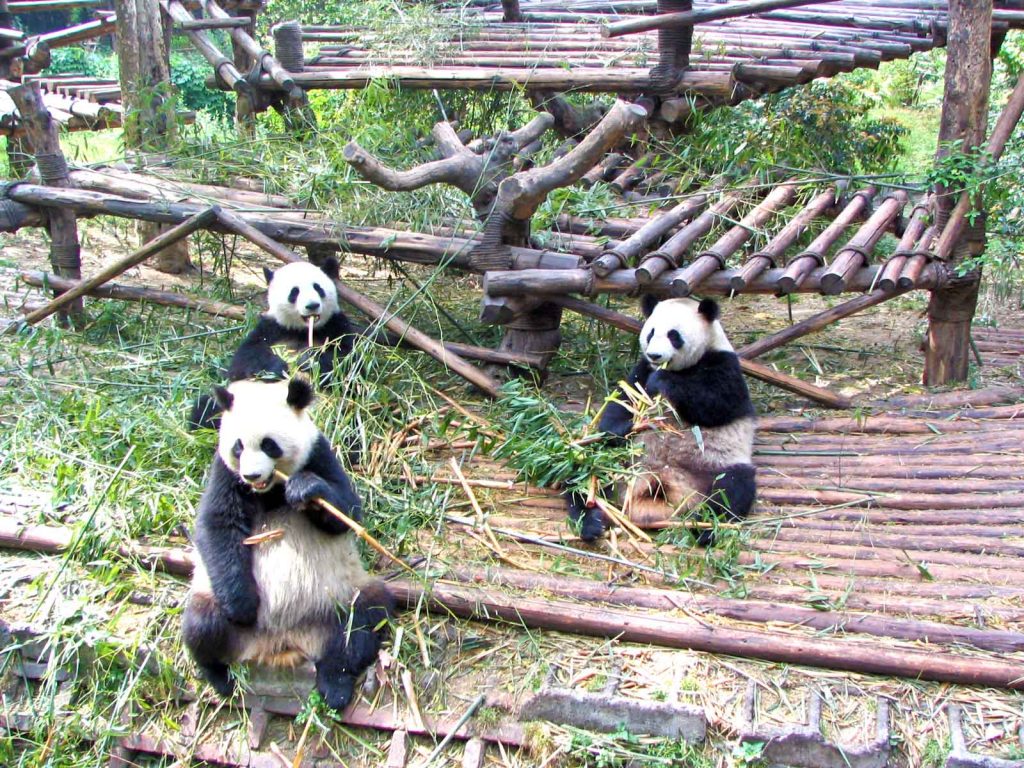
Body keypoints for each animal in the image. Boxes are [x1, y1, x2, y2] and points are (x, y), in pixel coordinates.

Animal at [182, 376, 389, 708]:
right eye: (238, 446)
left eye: (269, 444)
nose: (252, 475)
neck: (271, 489)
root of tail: (280, 643)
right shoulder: (225, 473)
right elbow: (217, 525)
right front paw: (243, 605)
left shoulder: (318, 452)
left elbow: (347, 511)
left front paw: (305, 489)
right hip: (212, 599)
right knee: (201, 626)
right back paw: (220, 678)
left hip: (339, 598)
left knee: (362, 621)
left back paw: (335, 684)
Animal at [190, 262, 354, 430]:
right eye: (295, 292)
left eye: (318, 288)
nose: (312, 305)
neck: (304, 330)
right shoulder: (270, 328)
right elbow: (243, 362)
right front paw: (279, 366)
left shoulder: (336, 326)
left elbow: (348, 363)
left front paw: (307, 359)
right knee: (206, 408)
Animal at [573, 296, 757, 548]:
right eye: (651, 332)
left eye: (673, 335)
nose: (655, 356)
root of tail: (660, 484)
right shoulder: (641, 369)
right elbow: (623, 399)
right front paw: (622, 427)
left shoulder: (724, 364)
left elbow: (717, 402)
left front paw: (662, 381)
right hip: (619, 462)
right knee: (583, 471)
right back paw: (590, 521)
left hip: (713, 466)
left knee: (731, 490)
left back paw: (705, 529)